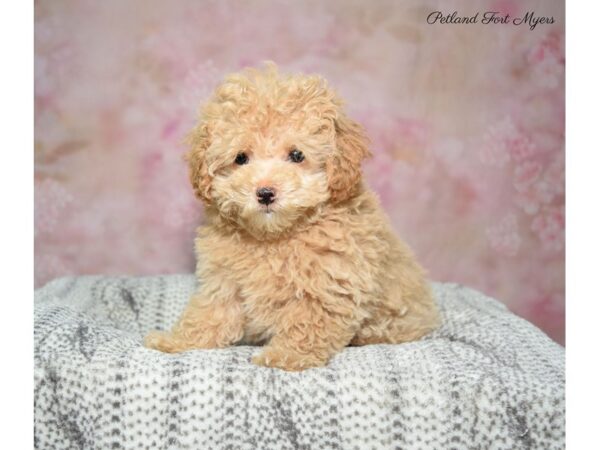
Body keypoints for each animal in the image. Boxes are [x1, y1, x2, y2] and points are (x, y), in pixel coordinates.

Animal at [143, 64, 438, 372]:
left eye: (297, 155)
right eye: (240, 158)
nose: (265, 193)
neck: (274, 236)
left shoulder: (329, 284)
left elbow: (307, 322)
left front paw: (288, 355)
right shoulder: (223, 281)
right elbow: (210, 313)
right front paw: (178, 340)